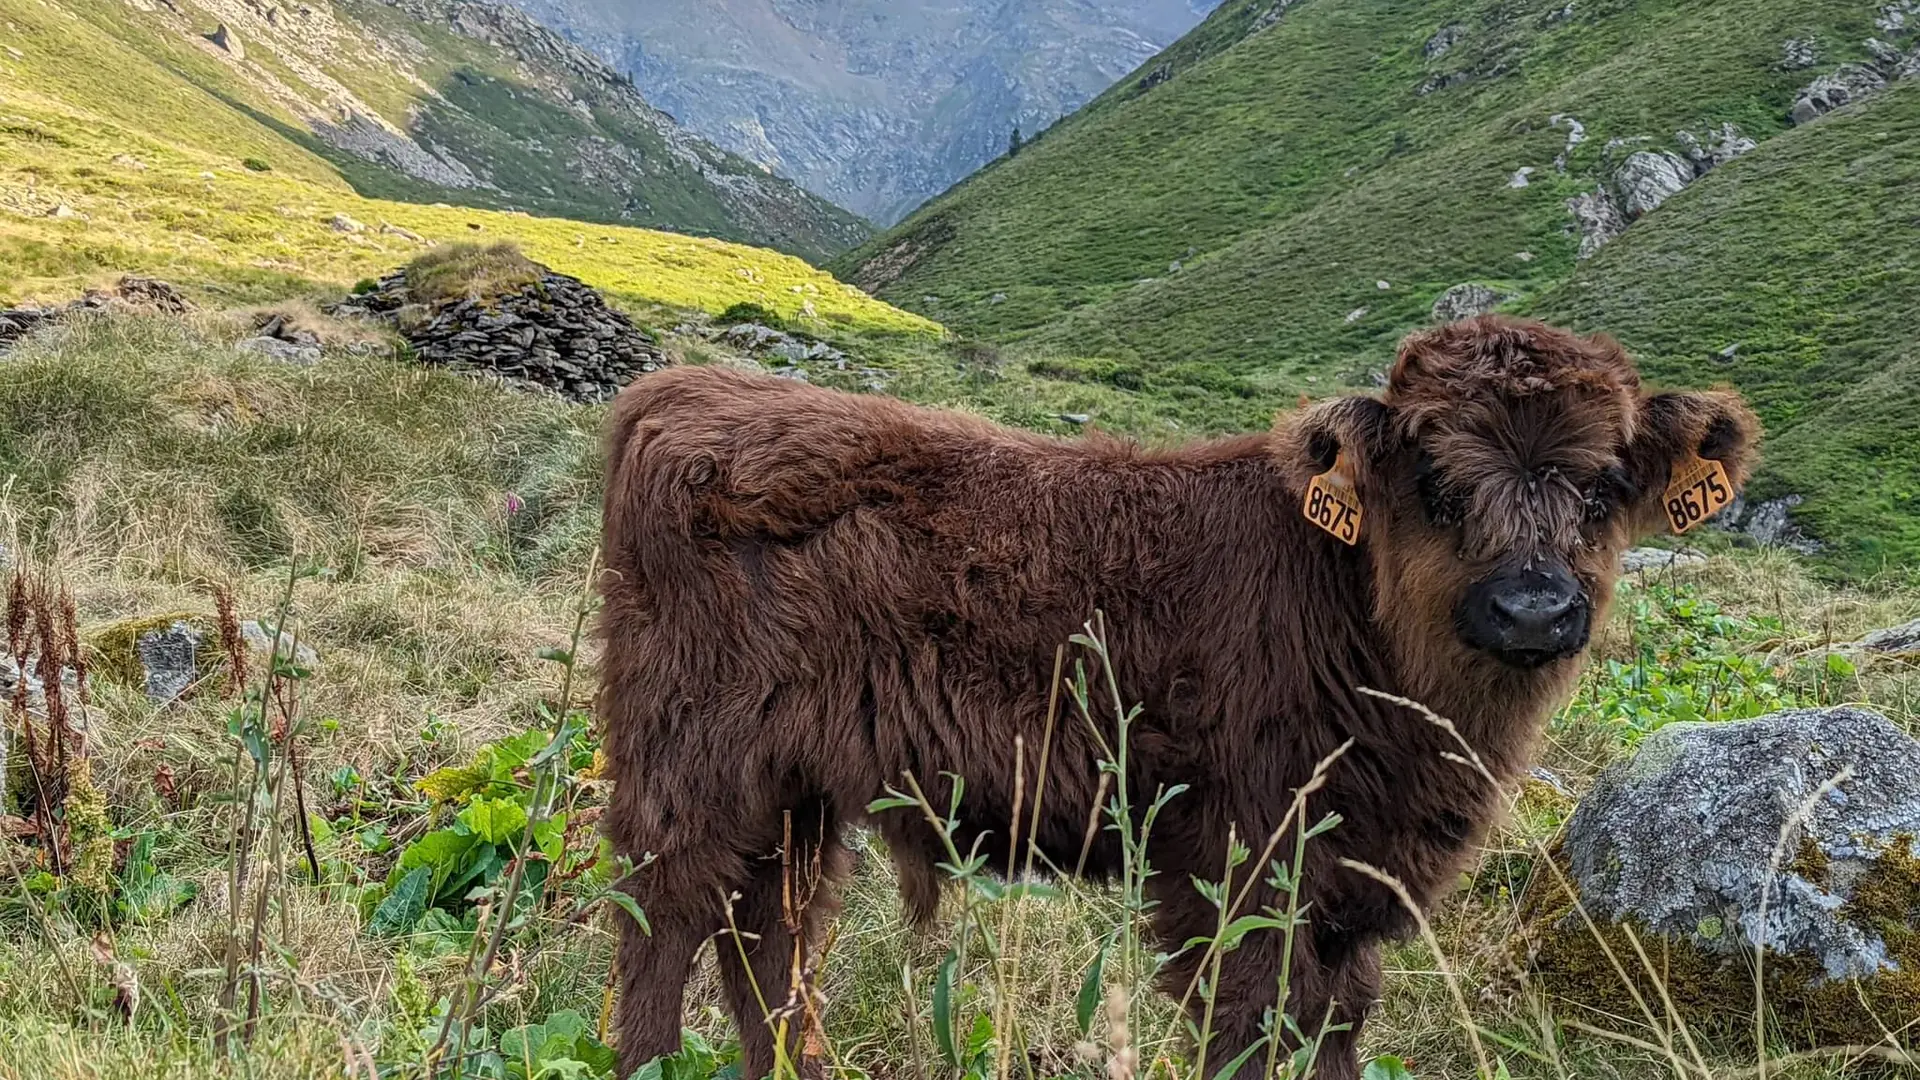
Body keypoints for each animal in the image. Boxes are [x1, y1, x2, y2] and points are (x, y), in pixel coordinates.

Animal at [594, 315, 1758, 1079]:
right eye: (1435, 481)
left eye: (1605, 486)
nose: (1531, 609)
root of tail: (678, 394)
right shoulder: (1236, 865)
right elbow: (1247, 1024)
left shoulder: (1347, 894)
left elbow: (1333, 1025)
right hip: (689, 763)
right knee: (666, 922)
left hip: (792, 793)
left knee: (767, 938)